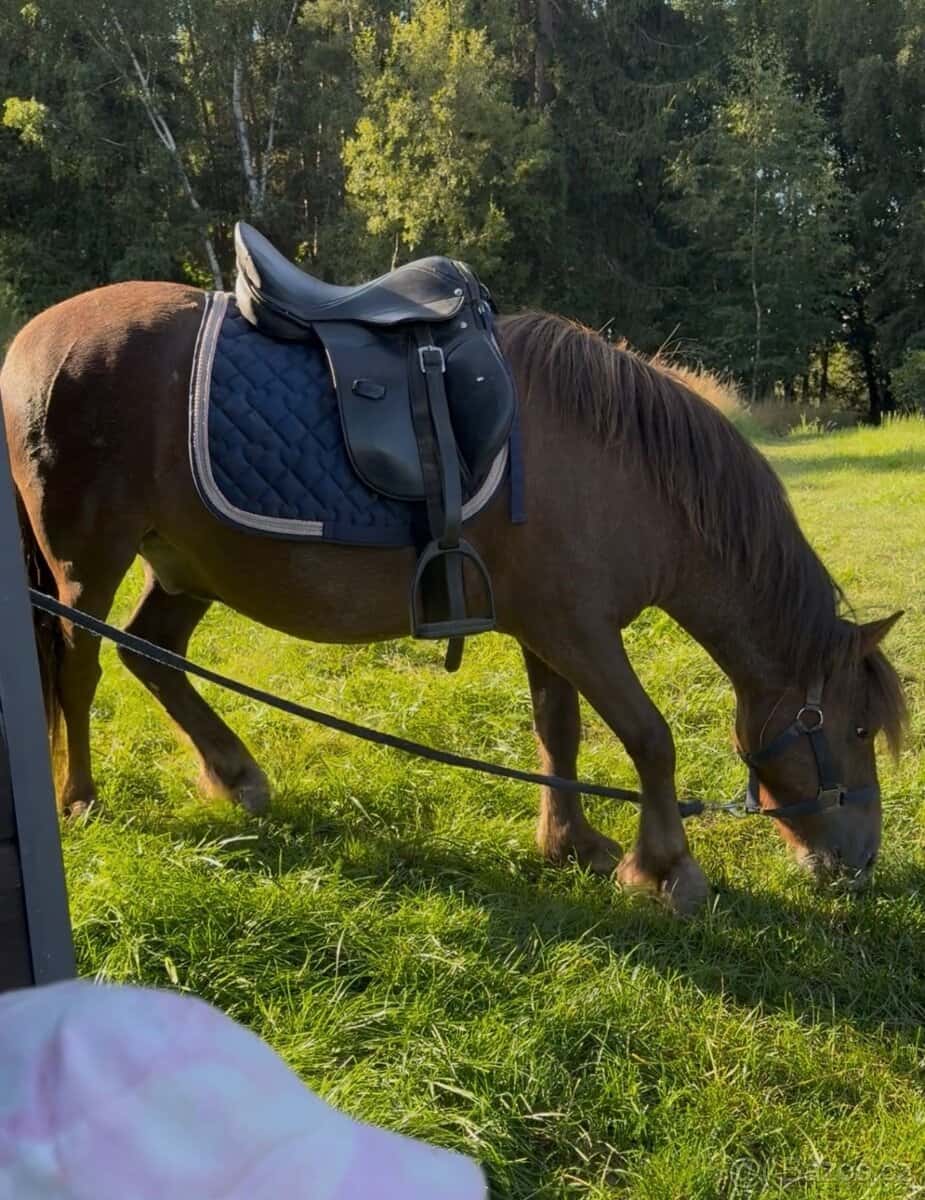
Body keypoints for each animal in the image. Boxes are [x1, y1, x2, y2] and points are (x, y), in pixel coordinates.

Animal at [1, 283, 907, 914]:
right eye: (856, 729)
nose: (859, 864)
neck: (623, 473)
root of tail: (30, 343)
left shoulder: (548, 631)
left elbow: (558, 730)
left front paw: (569, 841)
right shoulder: (577, 631)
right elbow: (649, 739)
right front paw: (665, 870)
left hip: (187, 566)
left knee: (153, 655)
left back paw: (236, 775)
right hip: (89, 560)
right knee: (81, 670)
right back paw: (80, 798)